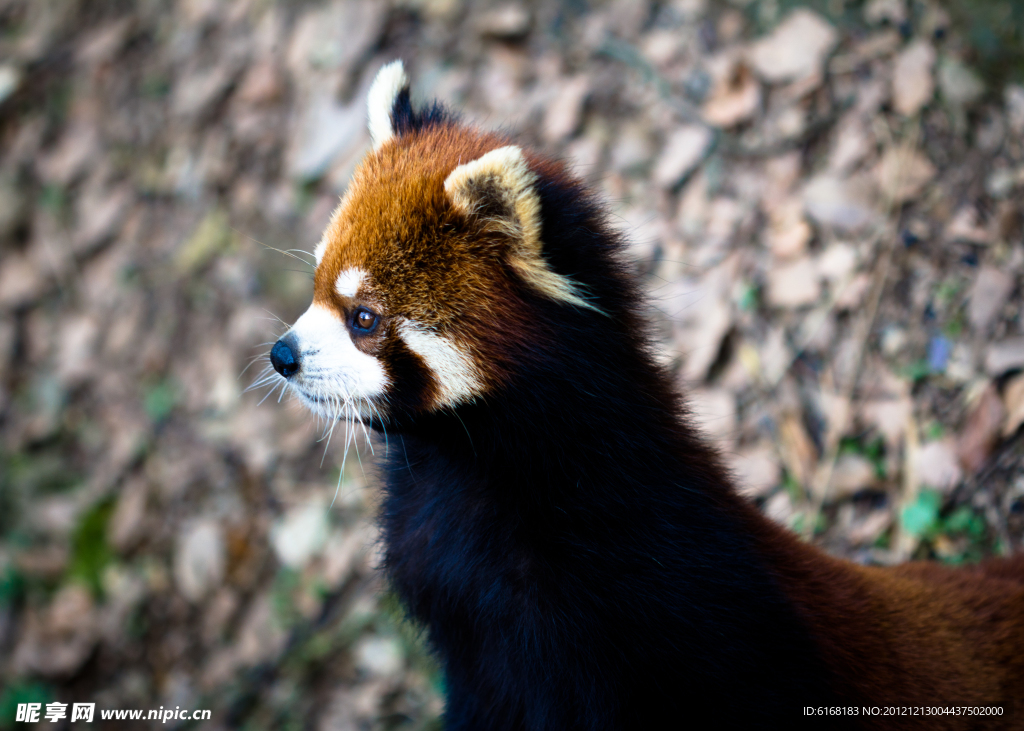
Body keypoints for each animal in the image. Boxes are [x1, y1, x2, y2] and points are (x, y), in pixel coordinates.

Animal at [270, 59, 1024, 724]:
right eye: (316, 289)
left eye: (364, 318)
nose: (282, 356)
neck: (473, 469)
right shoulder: (465, 623)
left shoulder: (659, 600)